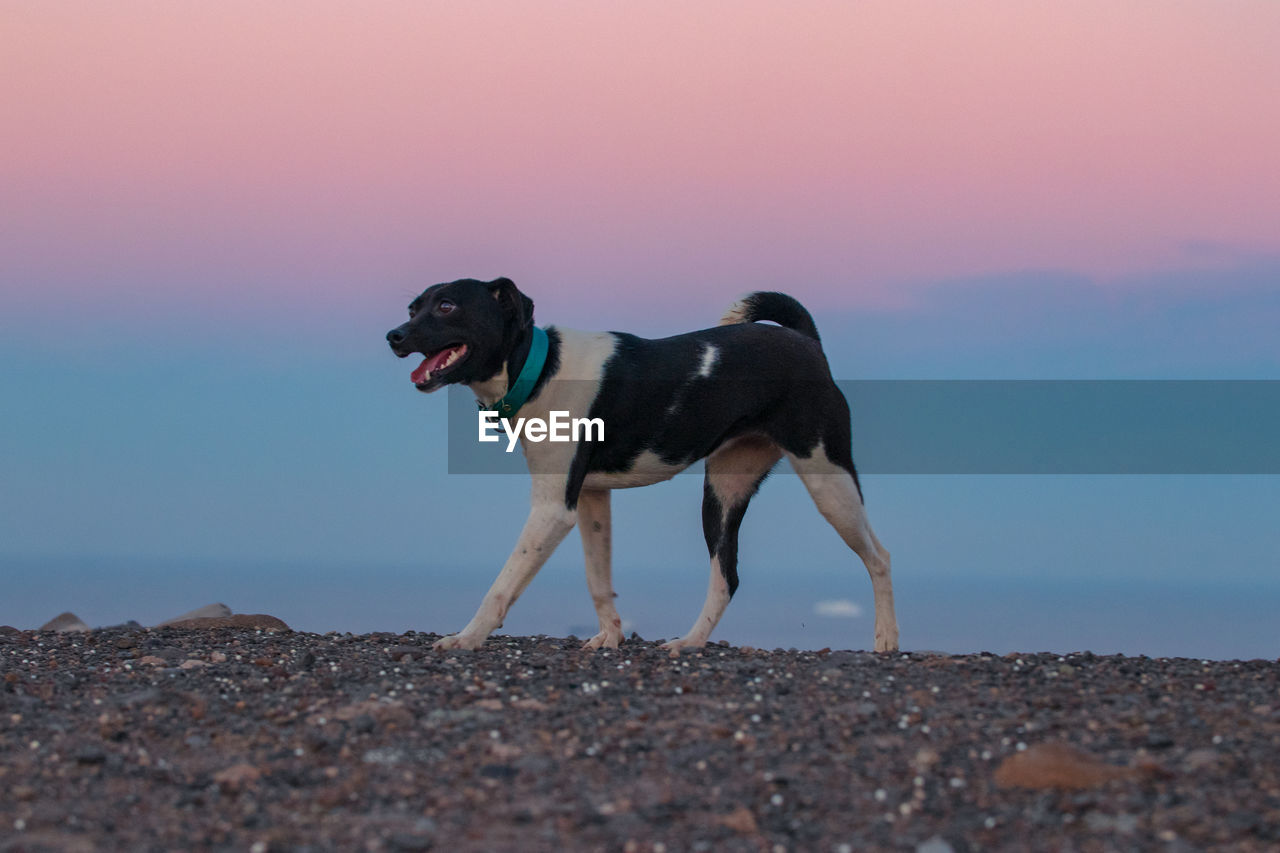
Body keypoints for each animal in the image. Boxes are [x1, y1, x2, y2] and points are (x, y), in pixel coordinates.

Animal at [389, 279, 901, 650]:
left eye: (447, 306)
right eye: (414, 307)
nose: (394, 336)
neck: (541, 368)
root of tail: (805, 341)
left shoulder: (553, 509)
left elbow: (503, 582)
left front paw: (466, 637)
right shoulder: (591, 498)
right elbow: (598, 580)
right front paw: (611, 637)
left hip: (828, 478)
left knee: (879, 557)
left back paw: (886, 640)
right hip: (724, 492)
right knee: (726, 577)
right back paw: (690, 643)